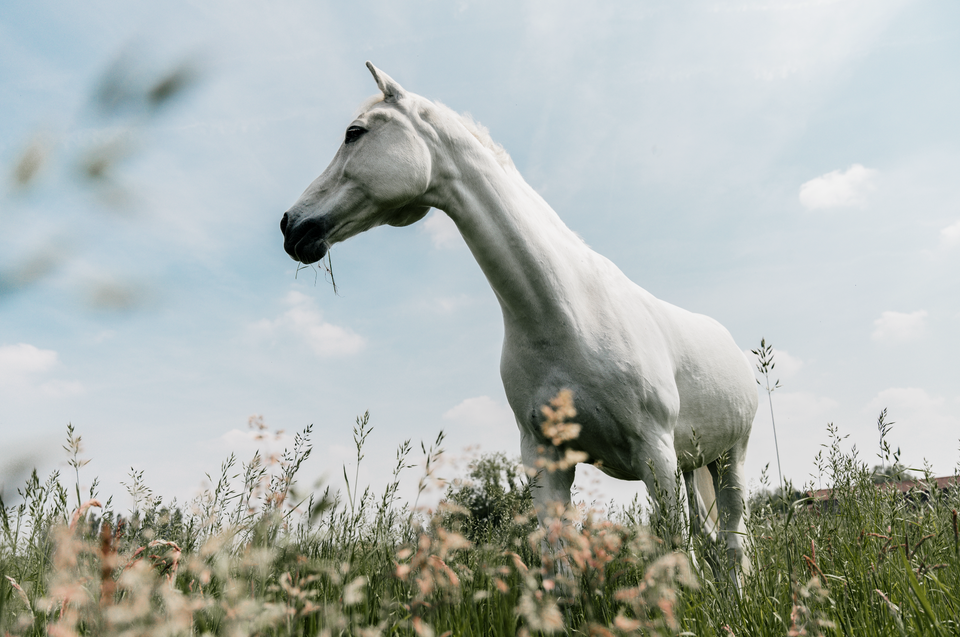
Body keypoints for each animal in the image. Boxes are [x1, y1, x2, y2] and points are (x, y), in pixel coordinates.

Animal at [280, 62, 758, 580]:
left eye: (355, 133)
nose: (290, 225)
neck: (567, 315)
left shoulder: (655, 453)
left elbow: (676, 553)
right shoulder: (545, 459)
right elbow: (560, 569)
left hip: (728, 459)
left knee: (733, 545)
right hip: (692, 464)